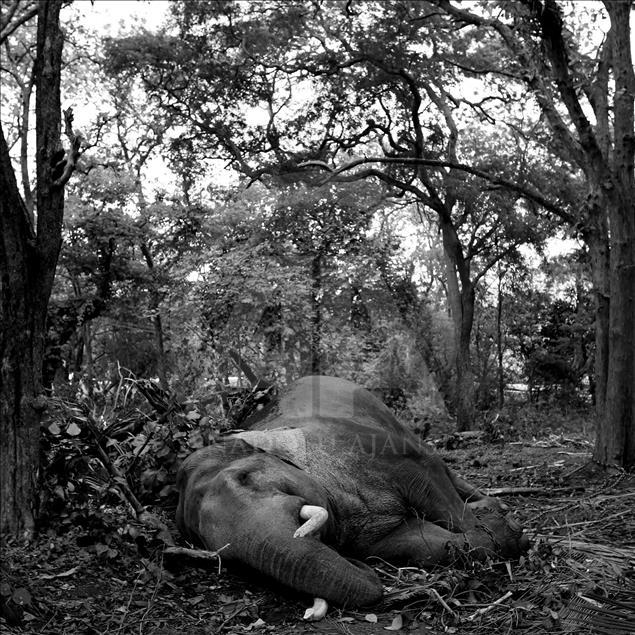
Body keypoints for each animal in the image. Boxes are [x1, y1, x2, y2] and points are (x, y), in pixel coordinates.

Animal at [176, 376, 528, 612]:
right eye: (227, 558)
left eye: (245, 478)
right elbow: (416, 542)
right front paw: (502, 532)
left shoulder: (370, 448)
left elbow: (430, 482)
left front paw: (508, 527)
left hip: (388, 416)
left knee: (438, 461)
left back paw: (492, 502)